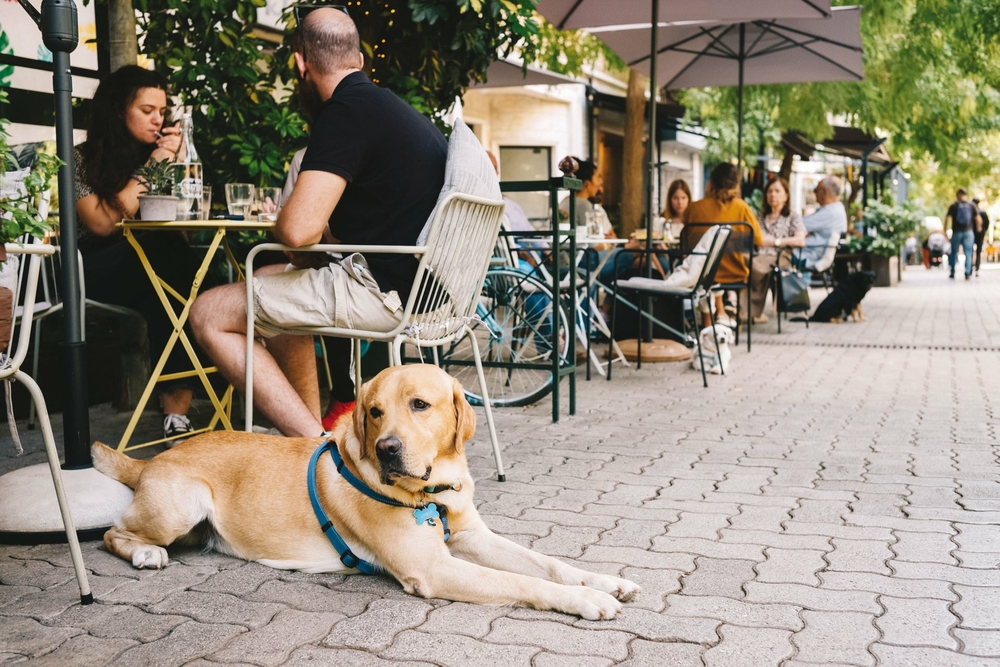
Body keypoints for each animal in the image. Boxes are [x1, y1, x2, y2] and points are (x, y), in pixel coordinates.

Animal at [94, 366, 640, 620]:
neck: (432, 493)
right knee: (111, 532)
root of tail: (152, 459)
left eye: (420, 405)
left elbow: (547, 564)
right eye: (374, 411)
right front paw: (586, 600)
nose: (388, 449)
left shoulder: (470, 537)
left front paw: (603, 581)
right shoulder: (433, 567)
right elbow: (525, 582)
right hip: (181, 506)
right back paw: (144, 553)